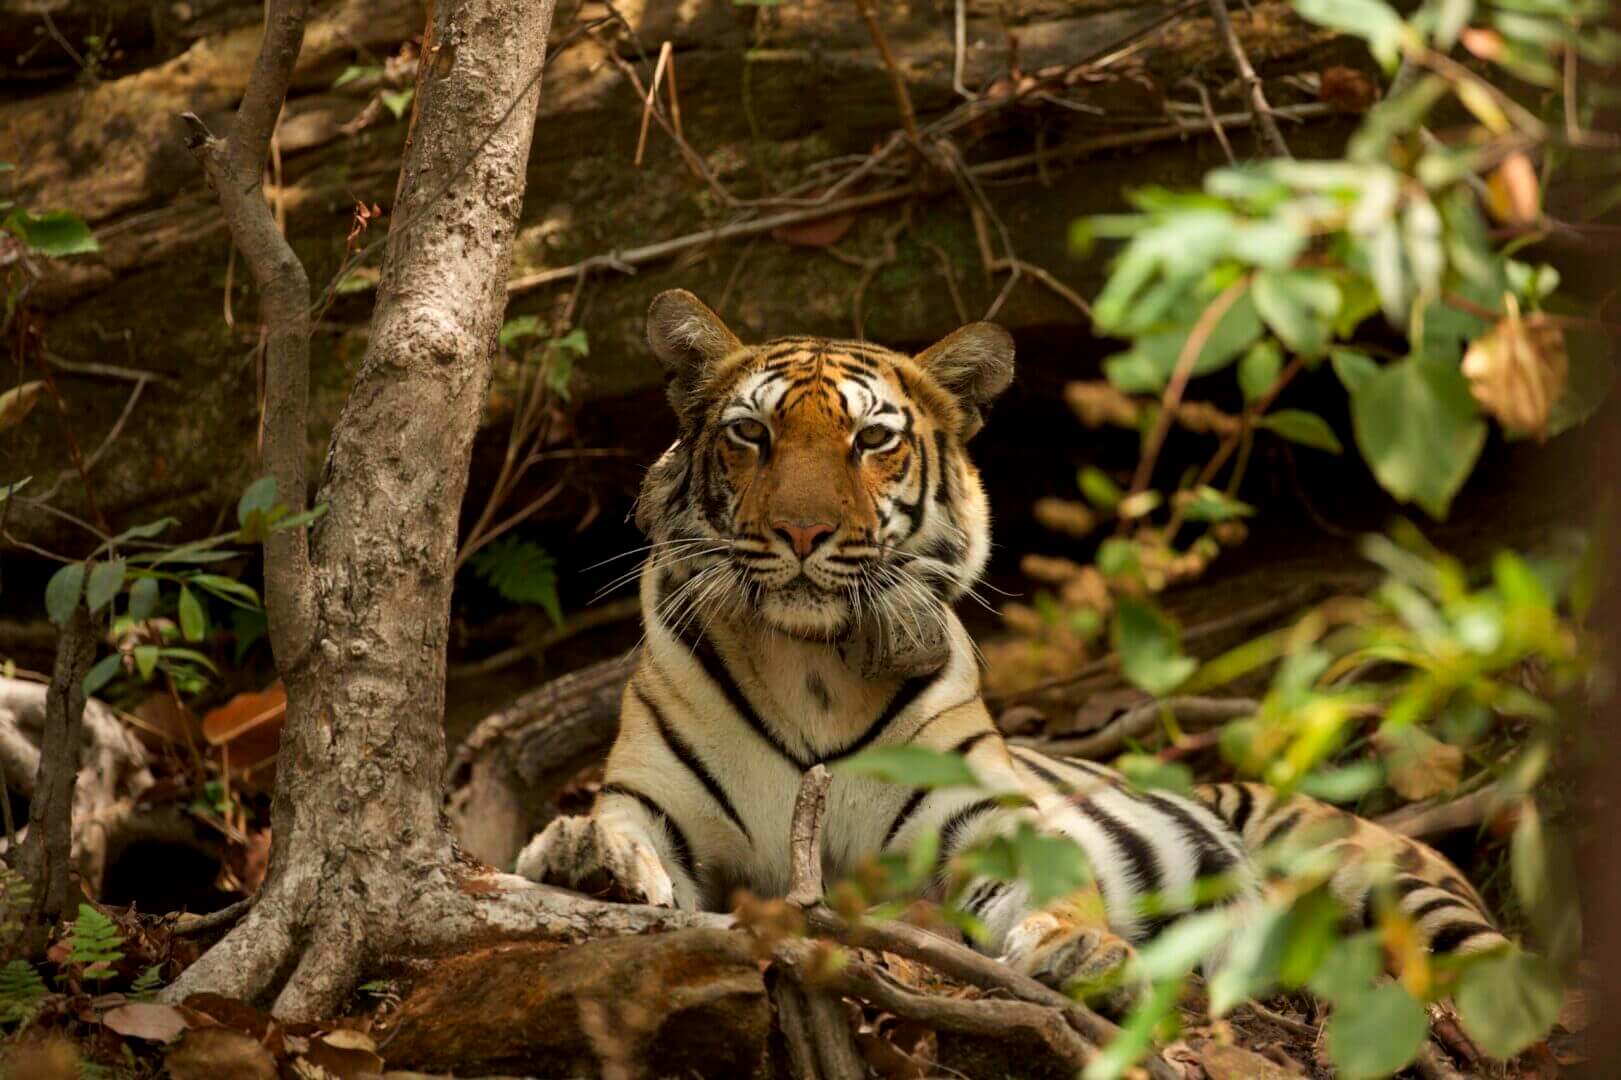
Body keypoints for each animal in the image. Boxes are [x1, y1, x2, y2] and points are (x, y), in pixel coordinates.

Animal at [515, 289, 1507, 1002]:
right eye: (750, 435)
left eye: (871, 439)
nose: (801, 532)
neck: (809, 663)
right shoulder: (661, 804)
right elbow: (620, 831)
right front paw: (584, 855)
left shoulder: (979, 817)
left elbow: (1052, 880)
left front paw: (1077, 946)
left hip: (1382, 872)